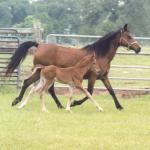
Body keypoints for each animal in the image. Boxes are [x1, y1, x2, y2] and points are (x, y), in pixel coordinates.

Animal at [4, 23, 141, 110]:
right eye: (129, 36)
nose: (138, 48)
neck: (100, 55)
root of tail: (39, 45)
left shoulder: (103, 77)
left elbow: (111, 91)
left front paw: (119, 106)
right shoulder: (92, 77)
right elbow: (89, 92)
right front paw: (75, 103)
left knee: (39, 86)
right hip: (42, 74)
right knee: (32, 84)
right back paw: (17, 101)